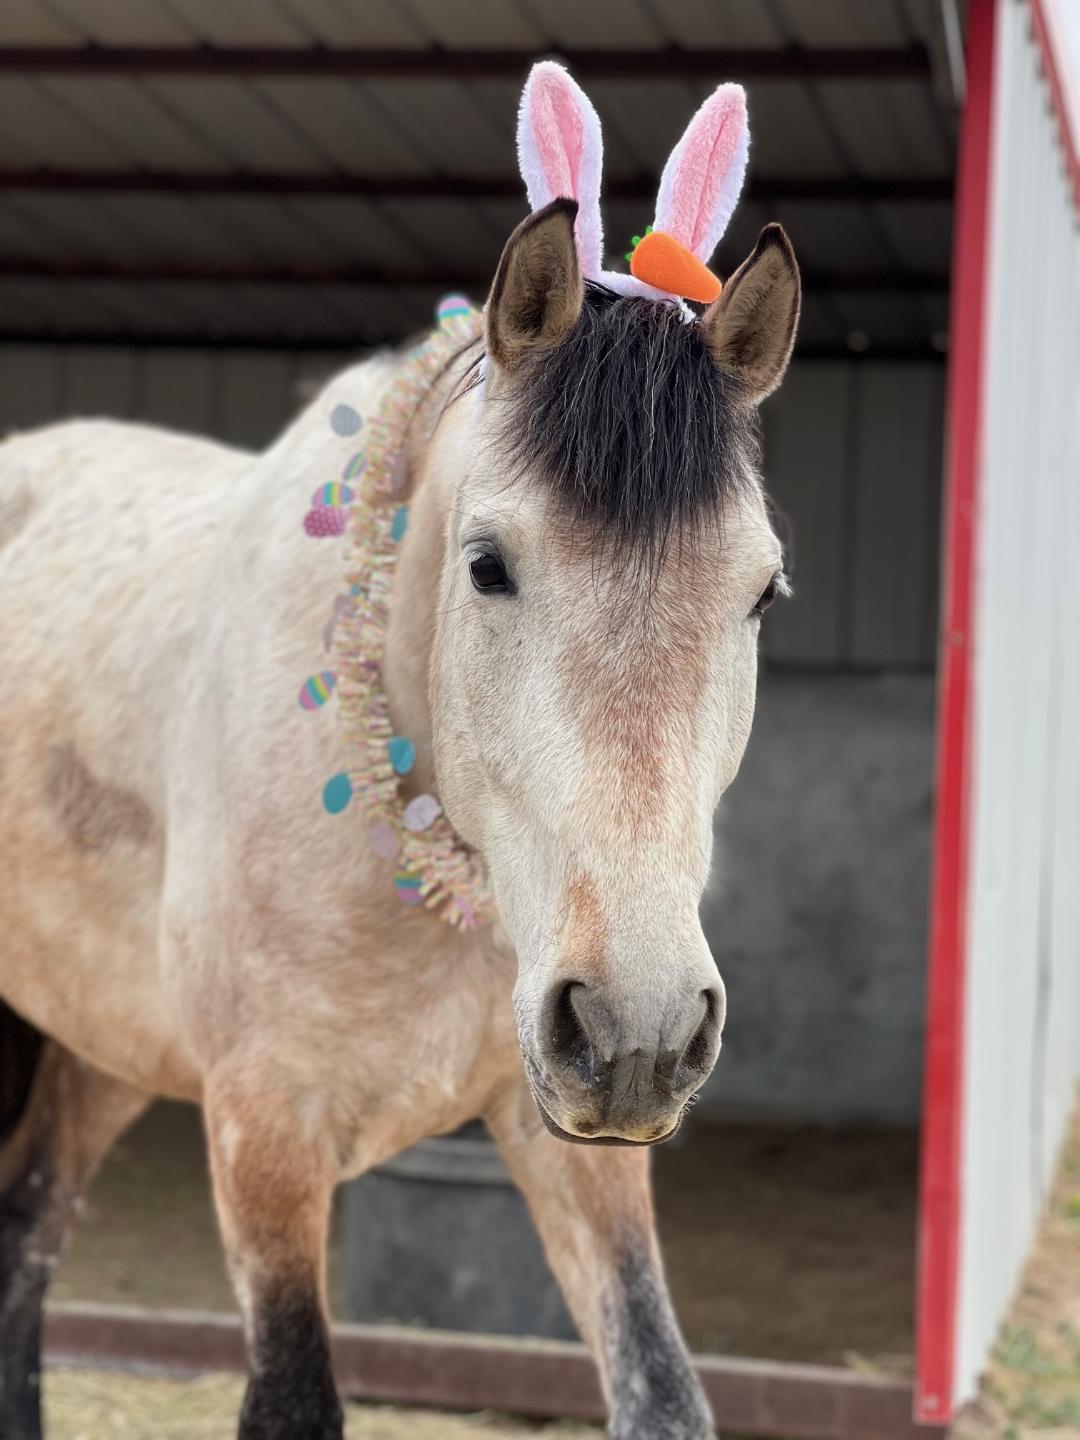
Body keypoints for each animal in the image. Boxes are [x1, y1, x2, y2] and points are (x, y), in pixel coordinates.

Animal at [0, 66, 800, 1440]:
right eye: (489, 566)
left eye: (760, 594)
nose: (639, 1023)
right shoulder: (264, 1135)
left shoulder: (569, 1136)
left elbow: (660, 1389)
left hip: (100, 1040)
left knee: (27, 1233)